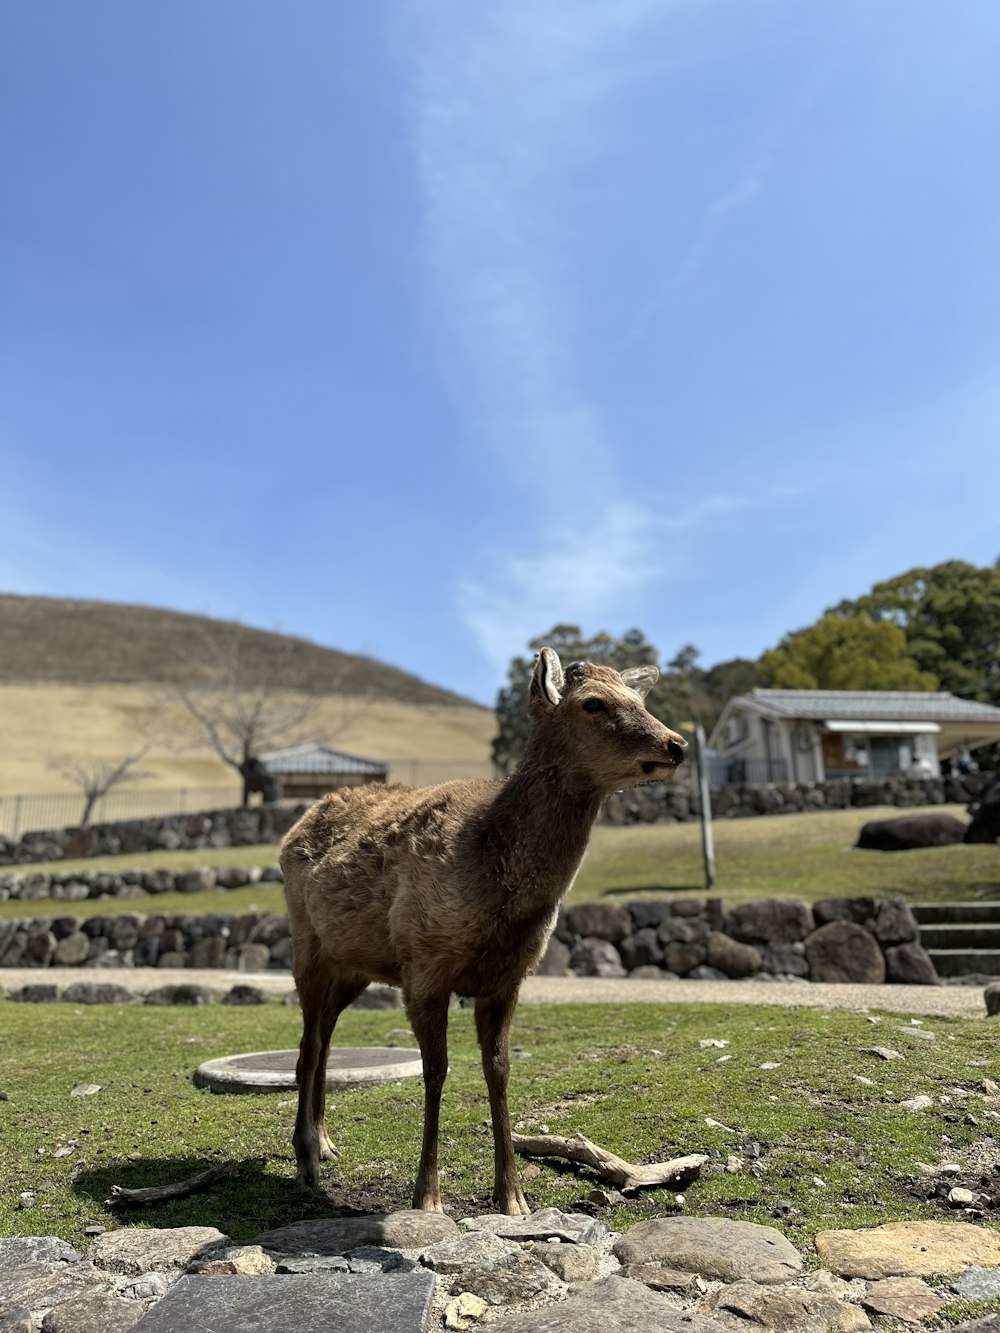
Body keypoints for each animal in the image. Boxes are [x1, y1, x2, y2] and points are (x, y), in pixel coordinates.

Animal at [282, 650, 688, 1215]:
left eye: (638, 699)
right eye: (593, 703)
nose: (677, 744)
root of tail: (296, 824)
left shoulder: (508, 977)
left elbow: (499, 1070)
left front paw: (512, 1198)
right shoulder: (424, 963)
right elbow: (436, 1071)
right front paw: (427, 1197)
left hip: (355, 966)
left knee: (323, 1036)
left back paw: (323, 1142)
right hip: (306, 943)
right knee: (309, 1043)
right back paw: (306, 1159)